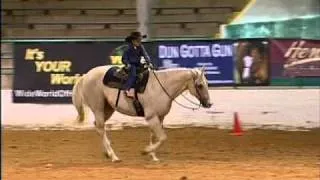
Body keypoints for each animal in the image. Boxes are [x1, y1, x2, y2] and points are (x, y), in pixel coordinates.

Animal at [72, 65, 212, 162]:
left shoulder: (159, 117)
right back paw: (113, 156)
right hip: (98, 108)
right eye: (199, 85)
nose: (209, 104)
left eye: (207, 83)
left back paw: (107, 153)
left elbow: (155, 137)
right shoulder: (151, 117)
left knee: (97, 126)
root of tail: (86, 75)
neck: (161, 87)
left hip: (108, 109)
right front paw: (146, 151)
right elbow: (162, 137)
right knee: (101, 128)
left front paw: (153, 156)